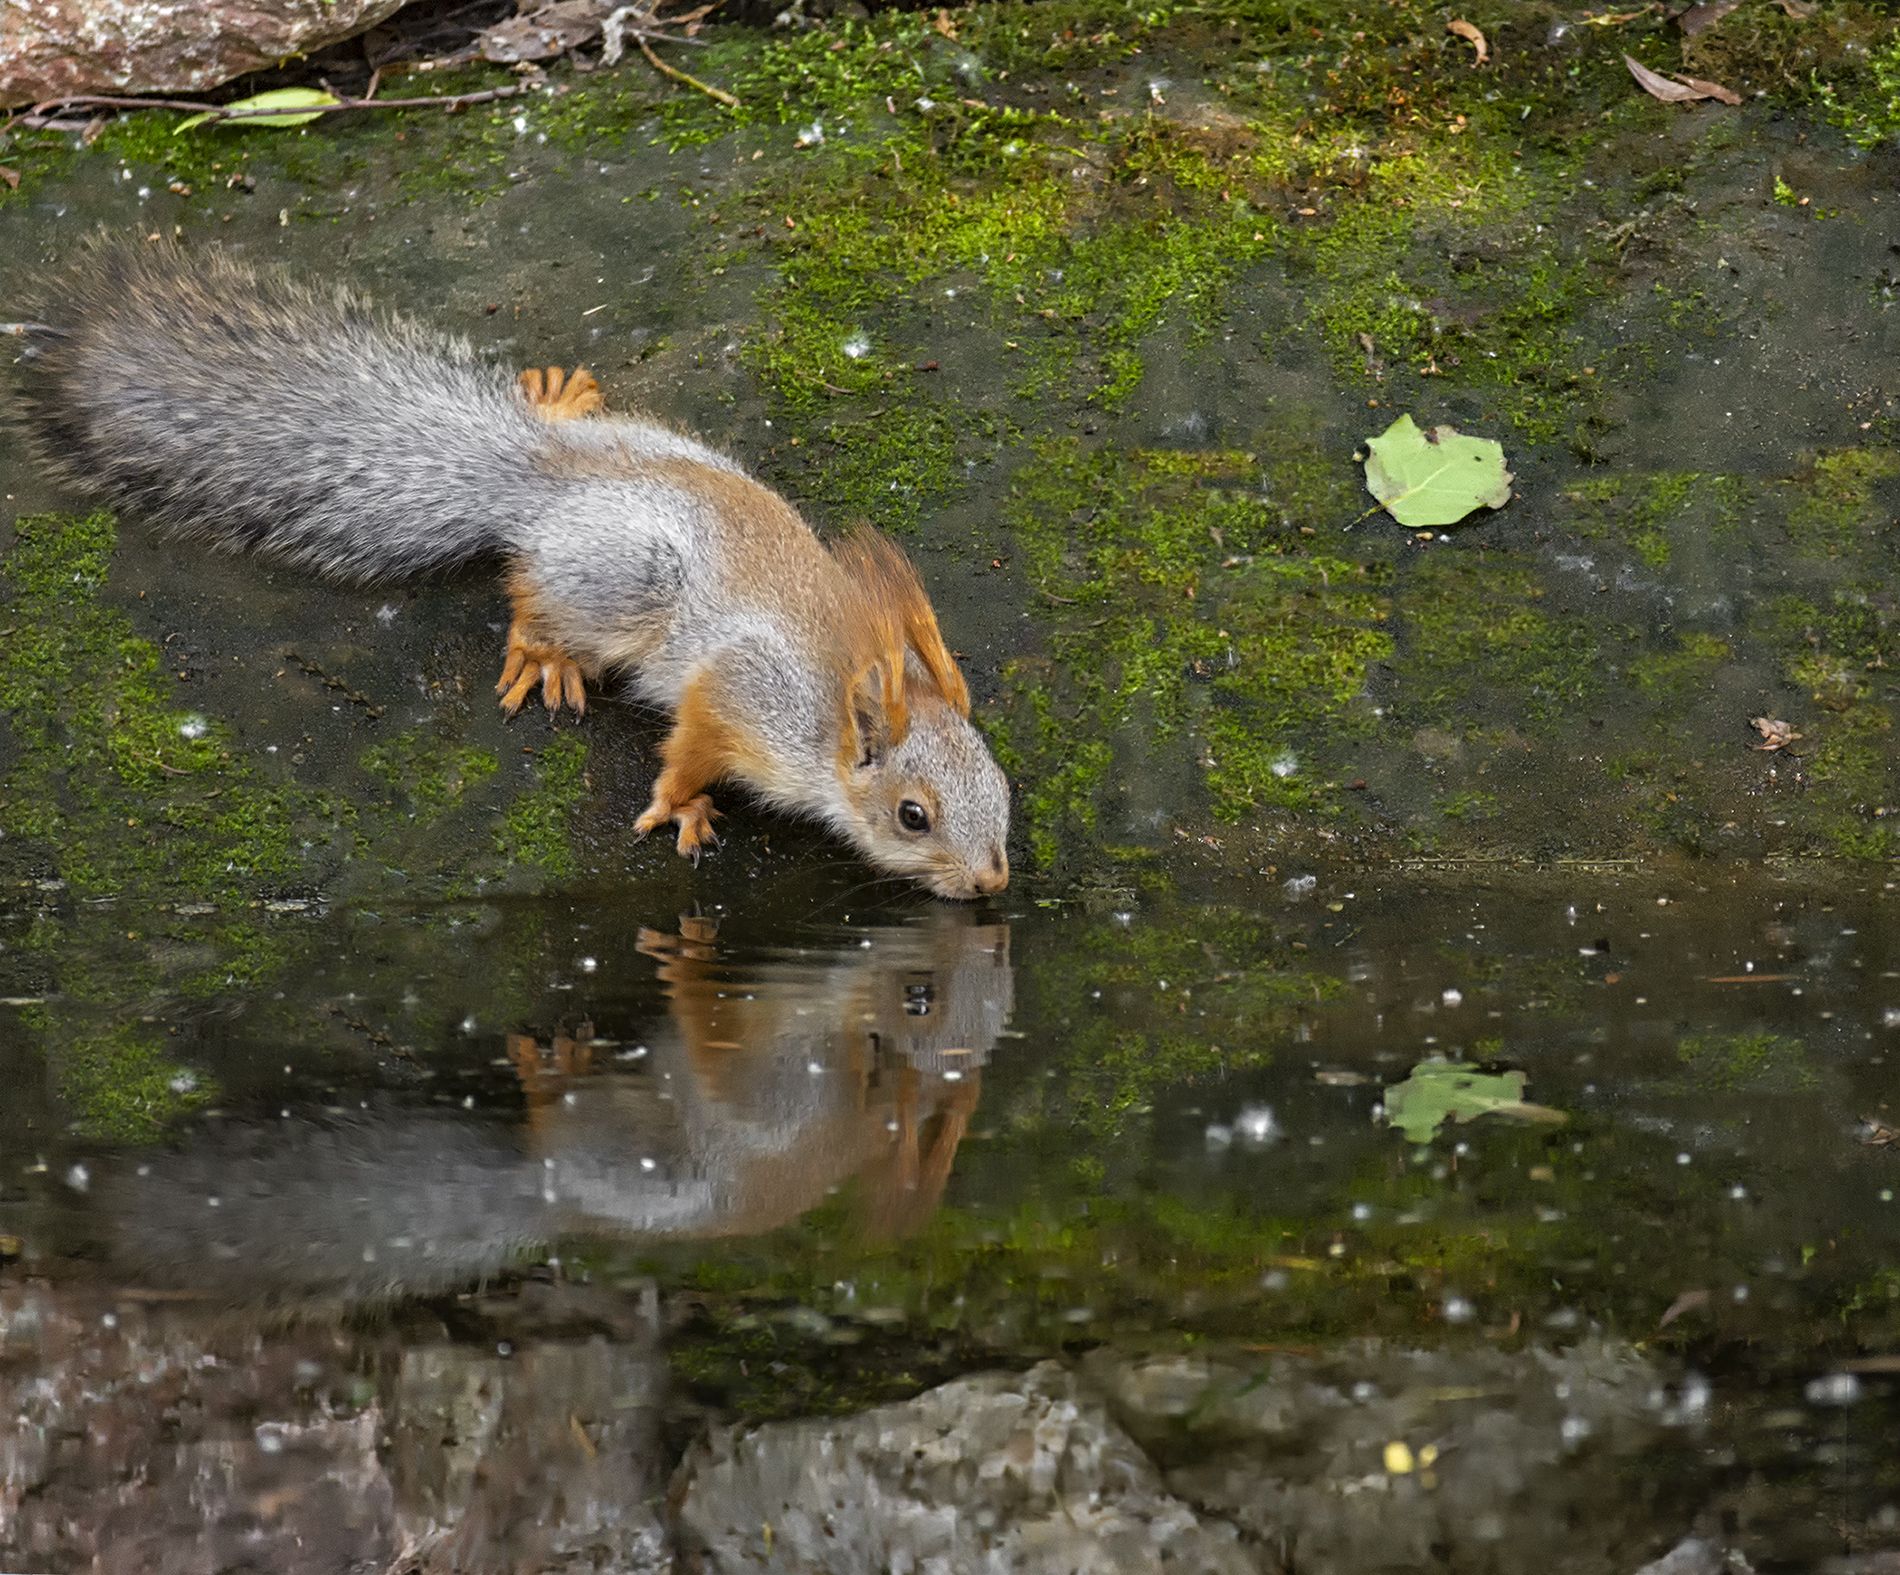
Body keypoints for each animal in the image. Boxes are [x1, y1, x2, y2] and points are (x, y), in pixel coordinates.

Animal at [11, 239, 1010, 889]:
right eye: (913, 815)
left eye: (1002, 786)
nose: (991, 885)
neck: (831, 716)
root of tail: (540, 476)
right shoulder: (742, 694)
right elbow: (690, 742)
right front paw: (681, 803)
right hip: (625, 578)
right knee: (527, 585)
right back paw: (545, 652)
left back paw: (557, 400)